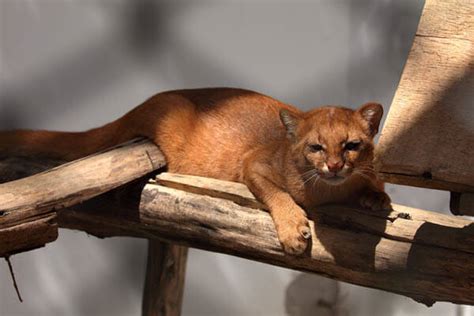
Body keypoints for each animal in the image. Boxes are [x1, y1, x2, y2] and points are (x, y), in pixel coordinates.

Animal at [1, 88, 390, 254]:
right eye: (316, 147)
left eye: (352, 145)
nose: (335, 166)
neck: (330, 193)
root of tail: (148, 100)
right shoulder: (254, 163)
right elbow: (278, 194)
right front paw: (295, 231)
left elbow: (376, 181)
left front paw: (377, 199)